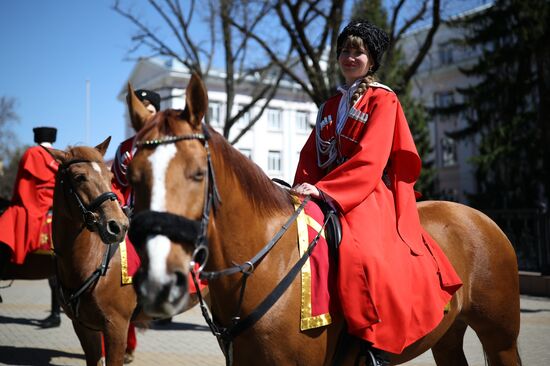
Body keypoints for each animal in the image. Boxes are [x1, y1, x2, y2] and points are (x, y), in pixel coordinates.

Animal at [125, 75, 520, 366]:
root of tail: (482, 218)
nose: (159, 282)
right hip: (448, 335)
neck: (263, 265)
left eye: (197, 174)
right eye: (134, 175)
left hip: (500, 338)